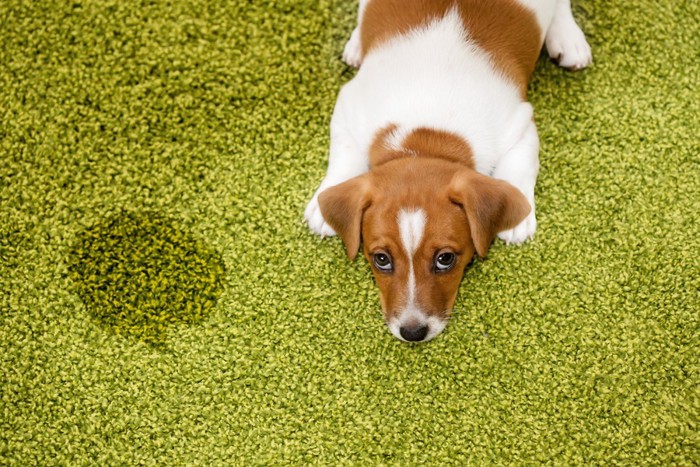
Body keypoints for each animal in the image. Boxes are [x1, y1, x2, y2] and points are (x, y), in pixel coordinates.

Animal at [304, 0, 592, 344]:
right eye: (381, 260)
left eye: (445, 259)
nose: (412, 332)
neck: (425, 136)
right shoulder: (349, 106)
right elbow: (343, 155)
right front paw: (323, 205)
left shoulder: (520, 123)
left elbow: (520, 166)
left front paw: (518, 216)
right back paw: (356, 44)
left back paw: (568, 38)